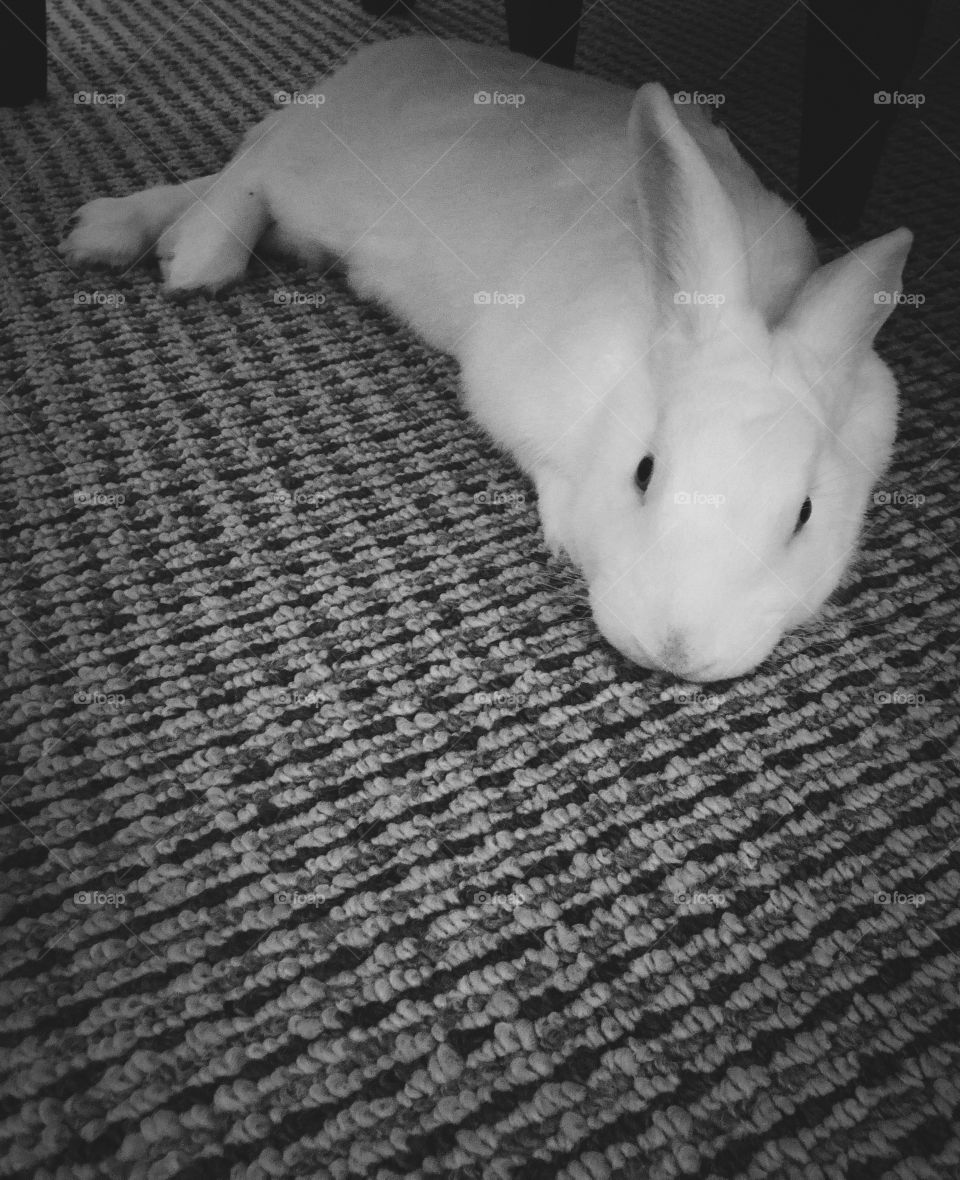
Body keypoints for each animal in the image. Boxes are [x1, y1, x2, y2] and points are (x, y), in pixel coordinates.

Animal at [60, 36, 913, 681]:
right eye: (643, 472)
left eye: (804, 515)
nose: (676, 649)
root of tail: (375, 59)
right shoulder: (511, 387)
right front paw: (563, 526)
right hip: (318, 175)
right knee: (249, 170)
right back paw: (192, 252)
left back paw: (127, 232)